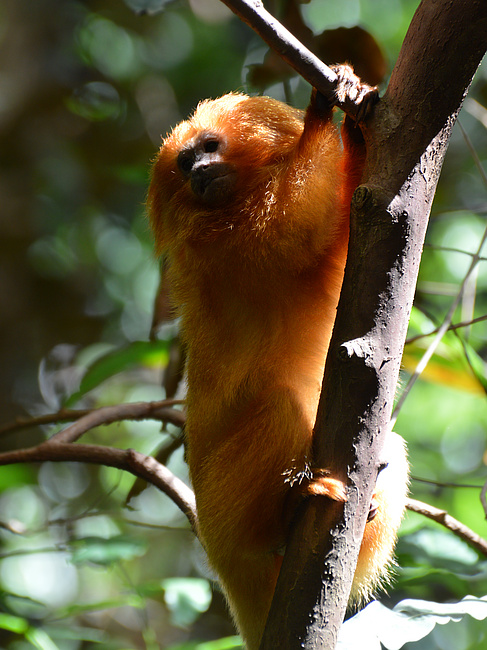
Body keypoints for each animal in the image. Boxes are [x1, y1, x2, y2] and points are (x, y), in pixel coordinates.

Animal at [148, 66, 408, 648]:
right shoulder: (219, 246)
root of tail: (222, 566)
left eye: (208, 148)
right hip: (224, 512)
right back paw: (293, 507)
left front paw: (357, 122)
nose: (199, 172)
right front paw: (319, 115)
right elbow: (294, 226)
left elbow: (354, 225)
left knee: (393, 449)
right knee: (278, 404)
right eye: (185, 164)